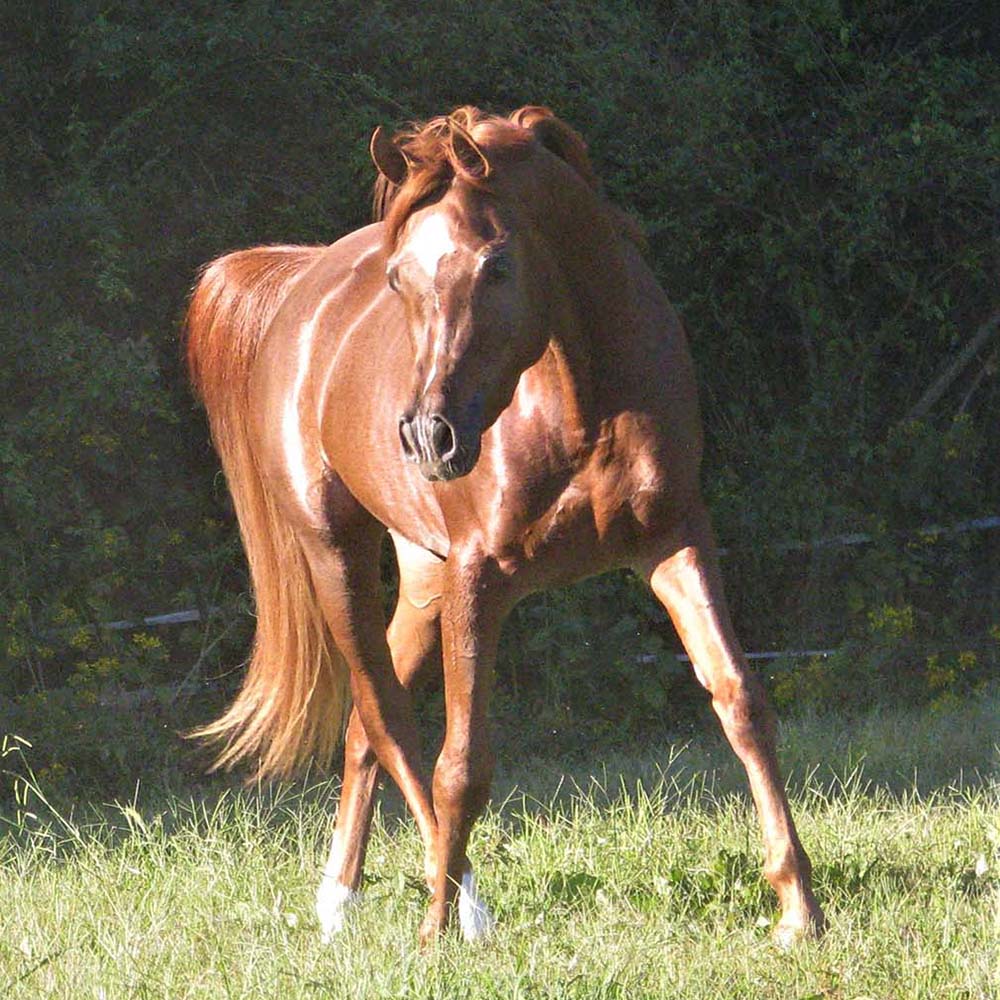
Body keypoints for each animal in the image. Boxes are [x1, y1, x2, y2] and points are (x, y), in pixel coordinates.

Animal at [184, 105, 824, 948]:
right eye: (399, 277)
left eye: (494, 266)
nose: (428, 436)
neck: (583, 403)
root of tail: (301, 284)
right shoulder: (478, 578)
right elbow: (462, 765)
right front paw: (432, 935)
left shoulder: (676, 541)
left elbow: (741, 701)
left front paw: (799, 909)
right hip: (338, 557)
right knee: (390, 719)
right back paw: (461, 906)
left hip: (423, 580)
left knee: (364, 725)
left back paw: (341, 898)